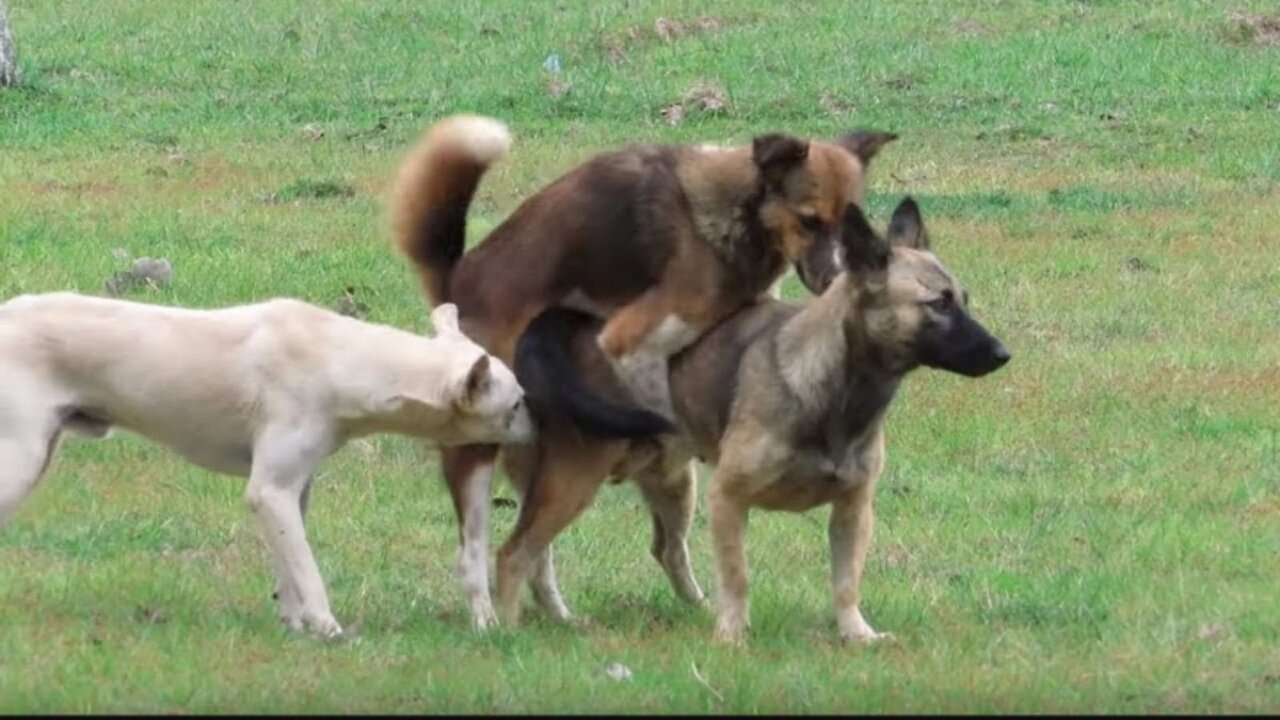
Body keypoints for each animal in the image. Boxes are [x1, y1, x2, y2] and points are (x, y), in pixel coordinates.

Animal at [0, 288, 532, 635]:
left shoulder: (292, 492)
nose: (544, 427)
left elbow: (288, 565)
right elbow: (308, 570)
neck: (346, 360)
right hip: (21, 461)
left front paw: (294, 624)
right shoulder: (270, 491)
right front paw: (327, 627)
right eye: (516, 405)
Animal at [394, 114, 896, 625]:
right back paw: (488, 622)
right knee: (478, 552)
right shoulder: (629, 336)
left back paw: (566, 617)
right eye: (809, 220)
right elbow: (659, 401)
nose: (838, 280)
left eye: (852, 222)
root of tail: (456, 282)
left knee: (552, 550)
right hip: (482, 450)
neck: (736, 213)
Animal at [499, 196, 1008, 638]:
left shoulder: (853, 509)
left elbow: (846, 583)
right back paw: (506, 625)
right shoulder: (728, 499)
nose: (1003, 353)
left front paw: (856, 635)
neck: (835, 389)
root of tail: (574, 327)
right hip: (572, 483)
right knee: (517, 554)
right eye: (938, 304)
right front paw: (733, 636)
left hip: (673, 485)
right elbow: (737, 575)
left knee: (662, 550)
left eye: (964, 298)